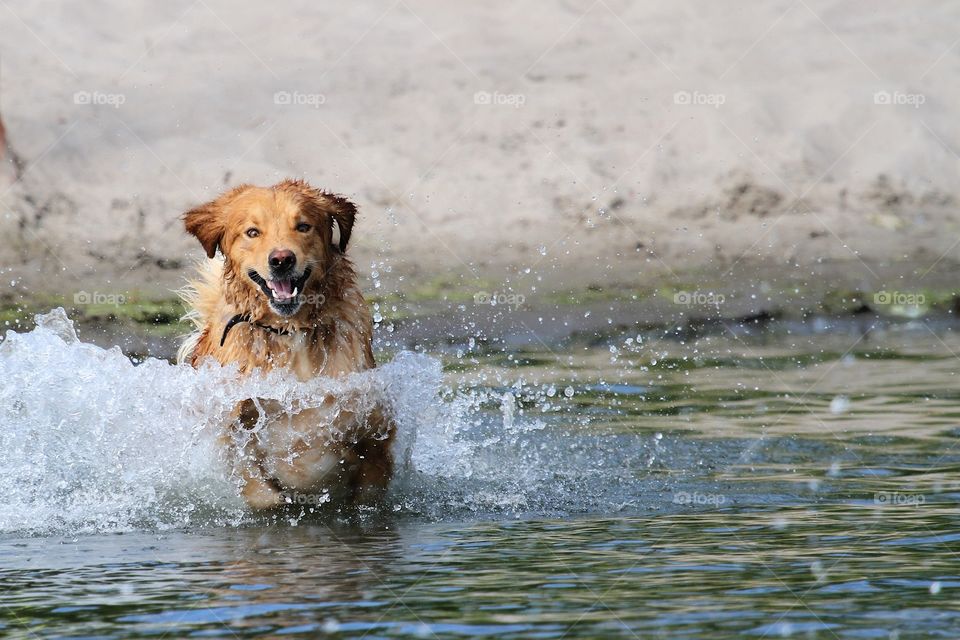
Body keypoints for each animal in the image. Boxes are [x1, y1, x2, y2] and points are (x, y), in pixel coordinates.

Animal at [178, 180, 392, 510]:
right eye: (253, 232)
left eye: (303, 226)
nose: (281, 260)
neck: (290, 332)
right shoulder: (231, 432)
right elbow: (261, 489)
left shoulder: (372, 422)